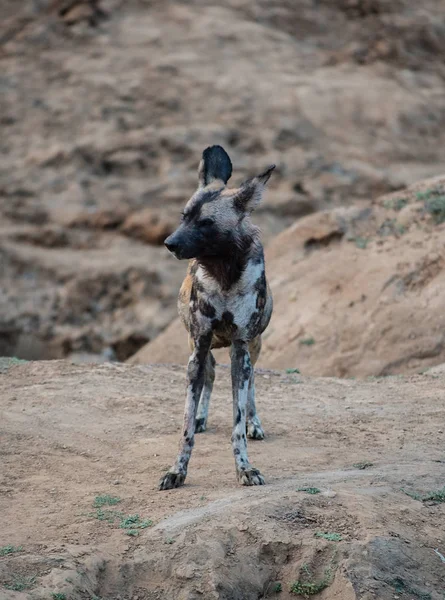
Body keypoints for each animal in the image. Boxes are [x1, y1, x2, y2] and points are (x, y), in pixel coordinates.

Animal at [158, 146, 272, 492]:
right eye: (184, 216)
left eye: (206, 222)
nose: (169, 243)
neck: (223, 273)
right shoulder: (198, 346)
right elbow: (185, 429)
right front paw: (177, 470)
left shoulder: (241, 347)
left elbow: (237, 422)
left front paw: (245, 468)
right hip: (199, 348)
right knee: (209, 375)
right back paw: (201, 418)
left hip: (253, 348)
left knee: (251, 387)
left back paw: (254, 423)